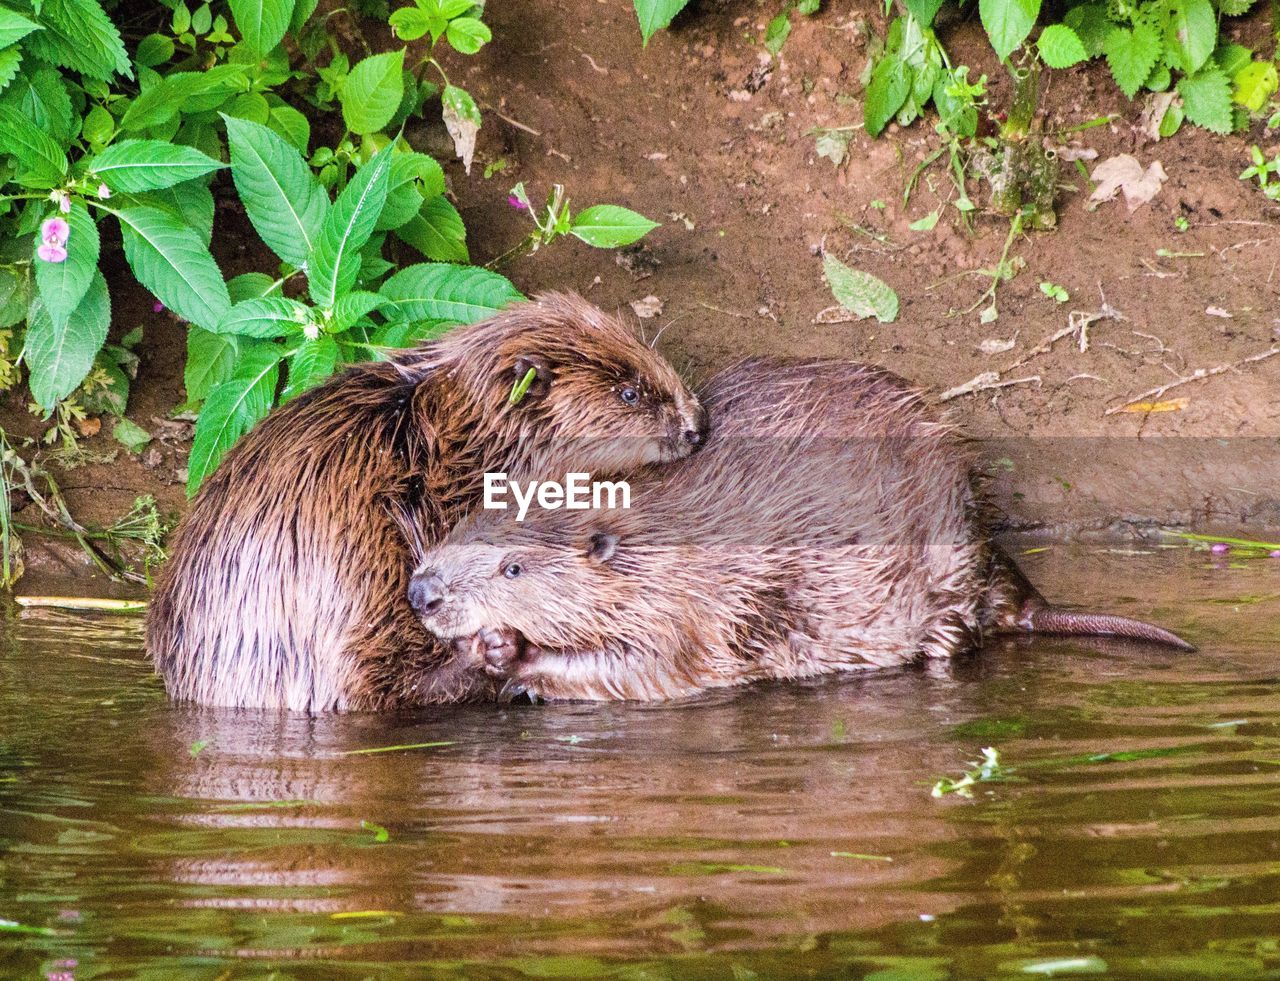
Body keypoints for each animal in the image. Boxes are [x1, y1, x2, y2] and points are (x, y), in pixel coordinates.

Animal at [404, 358, 1192, 701]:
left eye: (512, 568)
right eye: (467, 518)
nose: (421, 593)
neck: (662, 534)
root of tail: (1024, 598)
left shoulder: (695, 607)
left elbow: (648, 670)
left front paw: (507, 651)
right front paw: (484, 651)